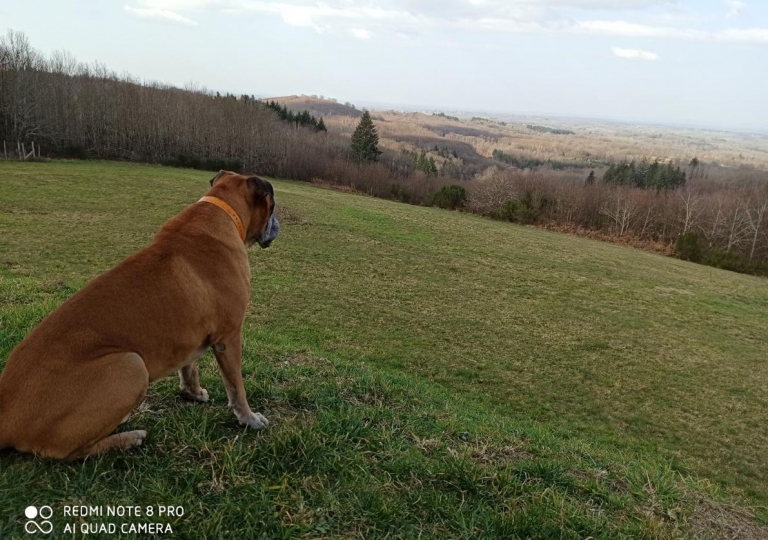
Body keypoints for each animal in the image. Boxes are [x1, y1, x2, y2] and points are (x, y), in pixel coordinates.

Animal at [0, 171, 280, 458]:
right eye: (272, 205)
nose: (276, 224)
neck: (223, 211)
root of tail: (5, 414)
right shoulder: (229, 337)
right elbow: (236, 388)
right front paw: (249, 419)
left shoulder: (190, 333)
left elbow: (189, 367)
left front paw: (193, 393)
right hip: (132, 364)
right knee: (72, 452)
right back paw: (129, 438)